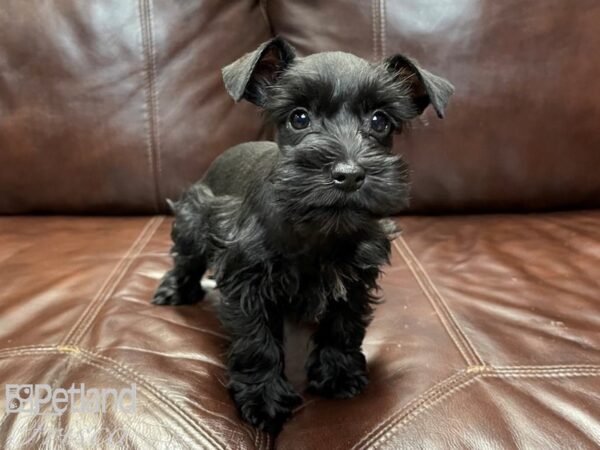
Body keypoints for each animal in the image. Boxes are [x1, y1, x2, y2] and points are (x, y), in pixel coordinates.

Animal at [152, 36, 452, 432]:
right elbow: (257, 343)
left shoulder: (355, 278)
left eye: (380, 120)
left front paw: (338, 375)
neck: (316, 229)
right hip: (193, 218)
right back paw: (175, 290)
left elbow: (343, 325)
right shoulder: (247, 282)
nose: (349, 175)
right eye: (299, 117)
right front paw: (264, 399)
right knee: (187, 259)